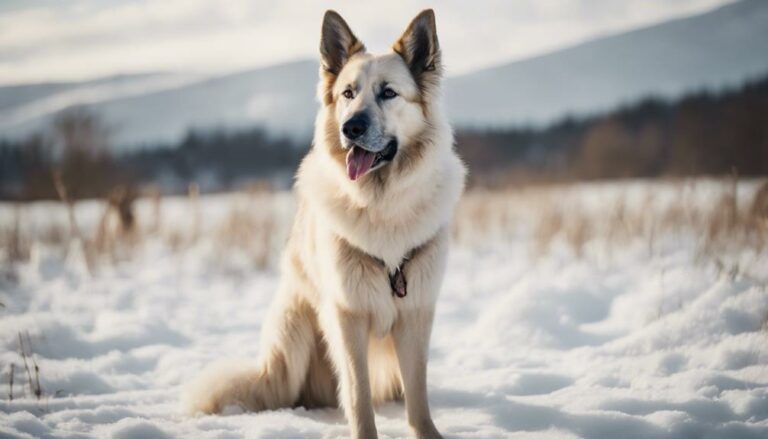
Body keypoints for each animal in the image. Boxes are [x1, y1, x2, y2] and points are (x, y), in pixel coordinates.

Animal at [183, 8, 464, 438]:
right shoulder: (347, 316)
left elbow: (418, 396)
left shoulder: (416, 312)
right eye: (348, 93)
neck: (381, 203)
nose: (352, 128)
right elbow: (358, 395)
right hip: (295, 338)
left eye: (388, 93)